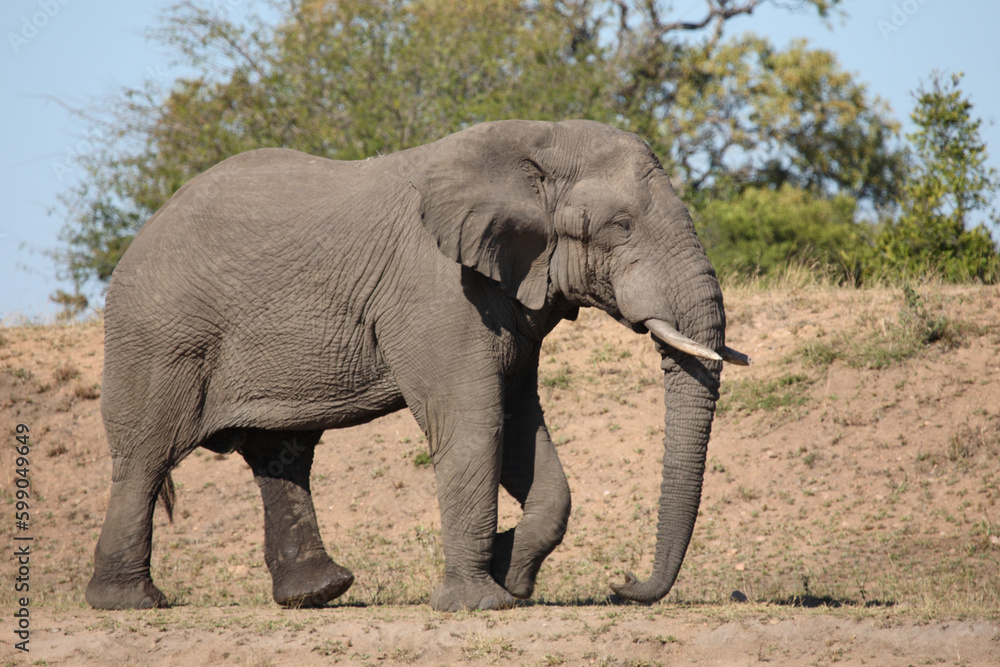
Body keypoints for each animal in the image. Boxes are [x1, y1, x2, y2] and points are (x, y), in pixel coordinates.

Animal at [85, 119, 749, 612]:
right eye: (620, 226)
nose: (623, 583)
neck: (534, 142)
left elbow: (521, 427)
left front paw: (511, 576)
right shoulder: (435, 289)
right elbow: (475, 421)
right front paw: (482, 603)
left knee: (281, 455)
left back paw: (318, 593)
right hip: (159, 337)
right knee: (147, 457)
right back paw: (131, 604)